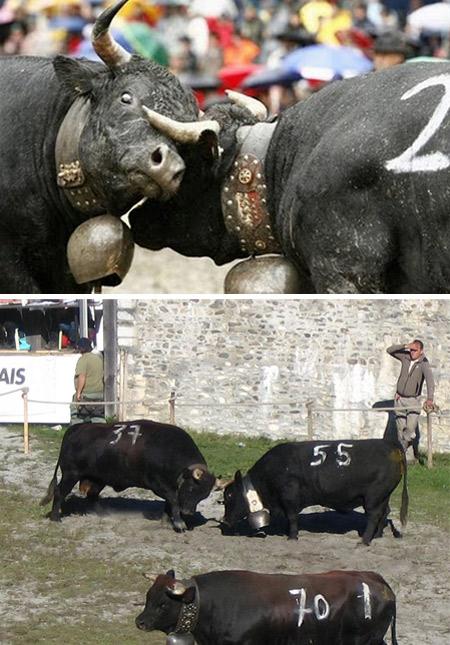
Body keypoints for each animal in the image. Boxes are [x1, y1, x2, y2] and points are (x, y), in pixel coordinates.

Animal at [39, 416, 215, 532]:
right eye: (191, 489)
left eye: (204, 495)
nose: (188, 512)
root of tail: (76, 429)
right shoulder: (160, 485)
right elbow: (173, 500)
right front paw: (179, 523)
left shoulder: (170, 486)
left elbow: (169, 502)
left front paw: (167, 520)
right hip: (71, 475)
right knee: (60, 492)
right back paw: (56, 518)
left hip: (98, 478)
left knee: (92, 495)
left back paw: (103, 513)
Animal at [221, 438, 408, 544]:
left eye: (229, 494)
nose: (225, 521)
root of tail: (391, 445)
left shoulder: (289, 497)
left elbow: (292, 517)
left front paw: (292, 537)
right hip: (383, 496)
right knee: (384, 513)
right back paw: (377, 536)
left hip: (373, 498)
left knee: (374, 516)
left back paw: (365, 540)